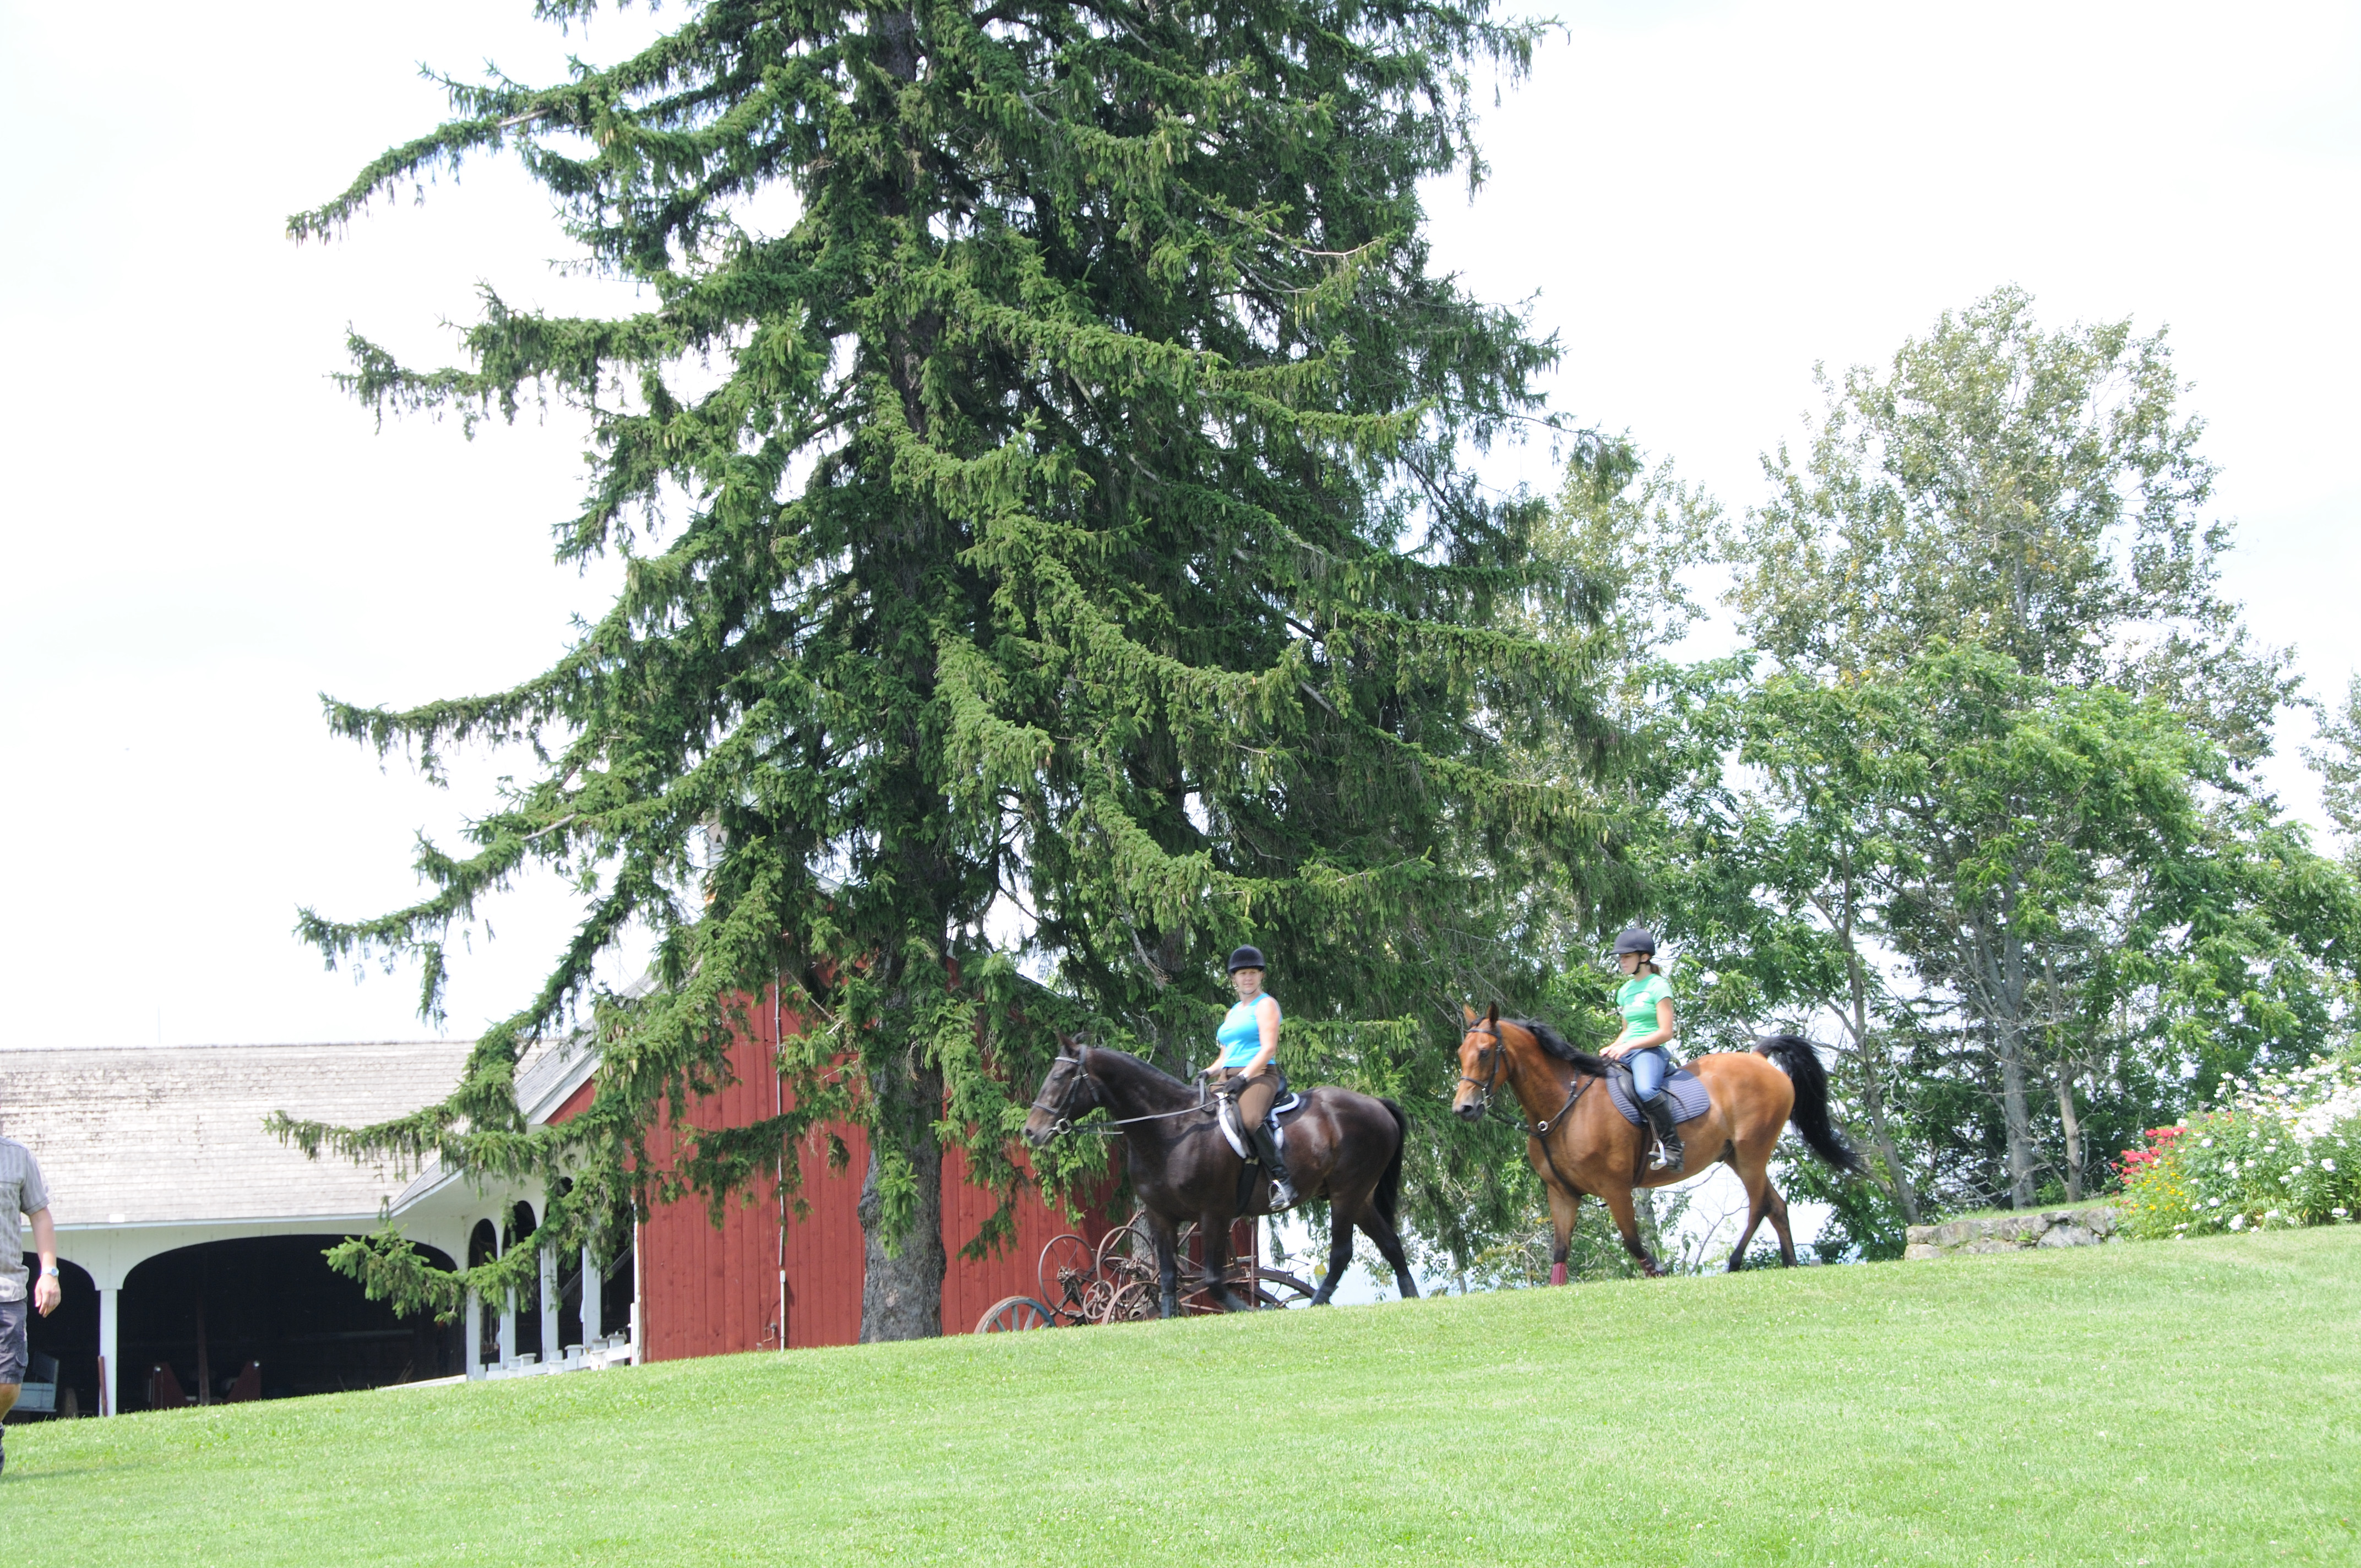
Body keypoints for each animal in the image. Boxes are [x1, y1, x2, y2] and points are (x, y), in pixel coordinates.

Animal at [1022, 1039, 1419, 1316]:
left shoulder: (1214, 1213)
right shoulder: (1160, 1216)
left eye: (1060, 1078)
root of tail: (1377, 1104)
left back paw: (1317, 1304)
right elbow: (1168, 1280)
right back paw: (1412, 1298)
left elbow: (1214, 1281)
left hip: (1345, 1194)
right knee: (1391, 1245)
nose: (1031, 1131)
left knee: (1341, 1253)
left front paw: (1255, 1311)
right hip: (1360, 1197)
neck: (1170, 1130)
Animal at [1451, 1005, 1863, 1279]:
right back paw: (1790, 1265)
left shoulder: (1616, 1188)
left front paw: (1660, 1275)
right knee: (1776, 1206)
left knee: (1760, 1205)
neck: (1564, 1106)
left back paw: (1734, 1264)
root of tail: (1760, 1059)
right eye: (1460, 1053)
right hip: (1734, 1155)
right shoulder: (1562, 1193)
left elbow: (1634, 1245)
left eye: (1485, 1053)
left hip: (1751, 1154)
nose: (1464, 1109)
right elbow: (1560, 1254)